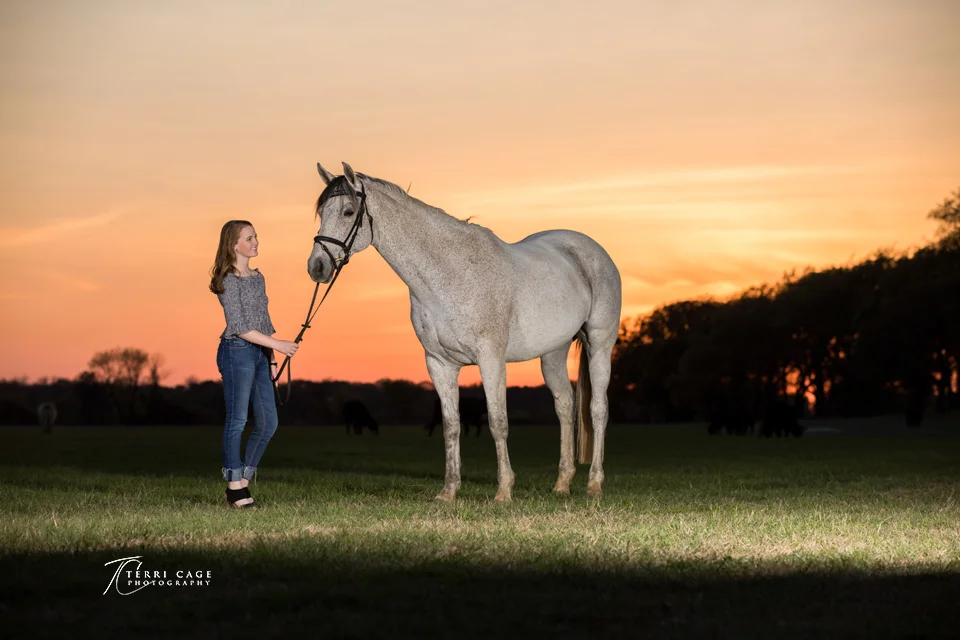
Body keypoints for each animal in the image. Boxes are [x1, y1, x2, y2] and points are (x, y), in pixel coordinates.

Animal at [308, 162, 622, 501]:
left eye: (349, 211)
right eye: (322, 211)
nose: (317, 267)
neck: (450, 274)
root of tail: (592, 250)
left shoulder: (491, 360)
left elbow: (498, 422)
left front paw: (504, 491)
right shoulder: (439, 364)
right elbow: (451, 425)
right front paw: (448, 491)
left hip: (600, 345)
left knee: (598, 410)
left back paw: (594, 484)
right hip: (552, 353)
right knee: (565, 406)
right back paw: (562, 483)